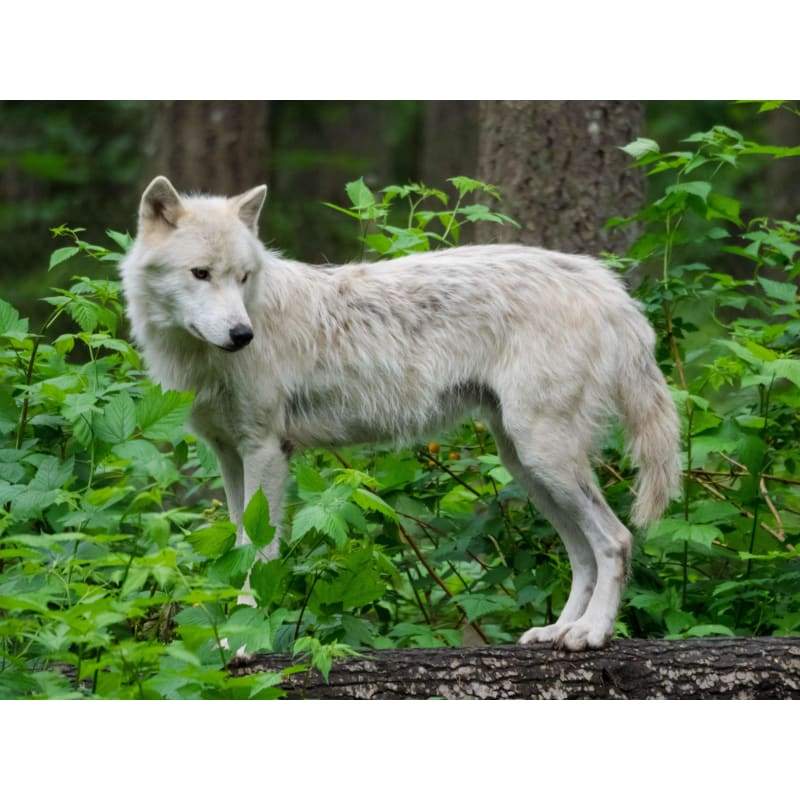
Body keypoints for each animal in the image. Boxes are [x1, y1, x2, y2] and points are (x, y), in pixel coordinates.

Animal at [120, 176, 681, 651]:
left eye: (242, 278)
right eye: (201, 274)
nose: (242, 335)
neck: (201, 357)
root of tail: (605, 287)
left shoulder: (265, 451)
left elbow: (259, 555)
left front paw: (245, 641)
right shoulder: (228, 454)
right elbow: (240, 547)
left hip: (546, 459)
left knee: (617, 541)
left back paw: (592, 633)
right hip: (527, 466)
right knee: (582, 553)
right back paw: (558, 630)